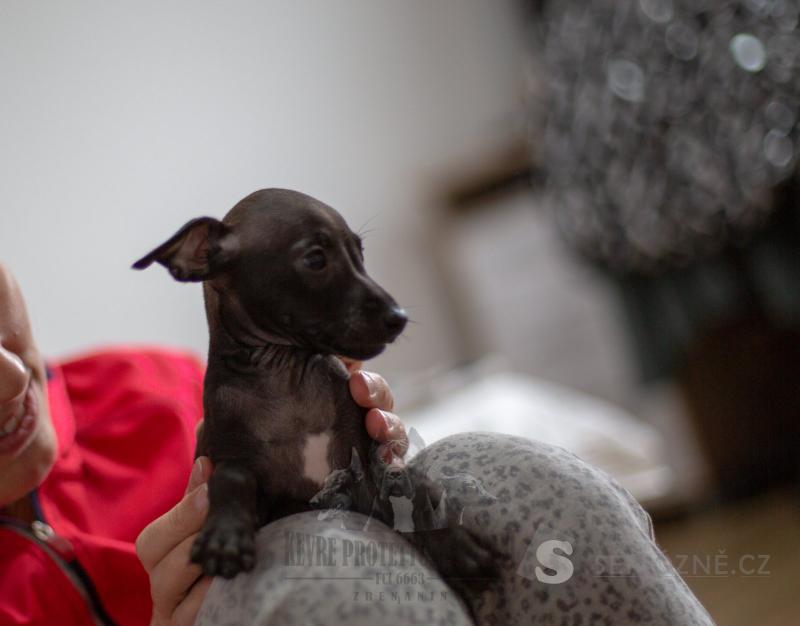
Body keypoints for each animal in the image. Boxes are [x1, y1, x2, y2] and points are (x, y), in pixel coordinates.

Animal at [133, 188, 500, 596]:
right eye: (315, 259)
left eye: (360, 254)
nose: (399, 317)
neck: (287, 375)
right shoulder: (242, 468)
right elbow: (232, 477)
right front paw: (224, 536)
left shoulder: (365, 466)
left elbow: (405, 483)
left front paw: (451, 543)